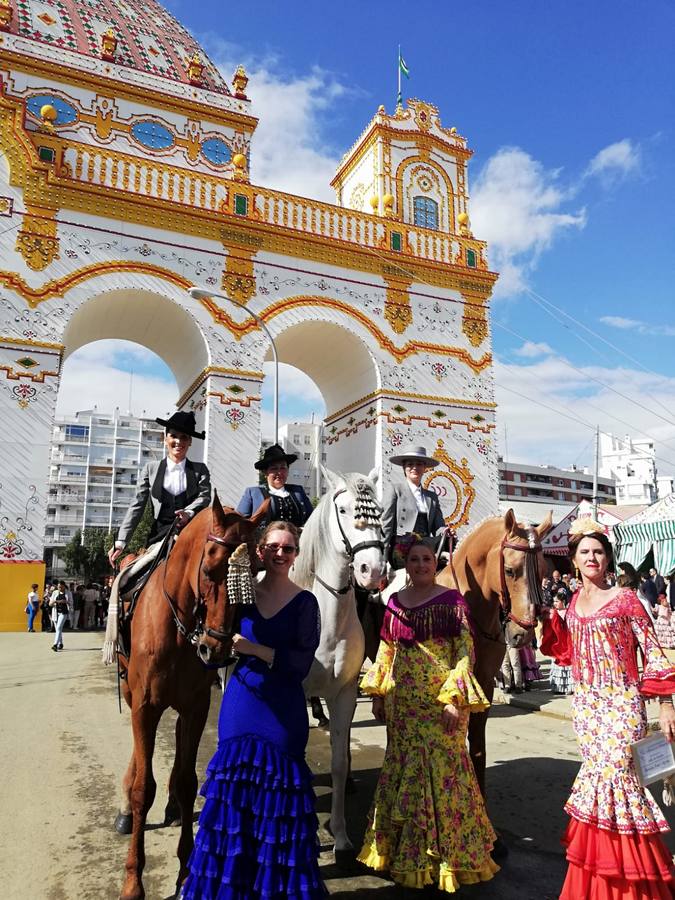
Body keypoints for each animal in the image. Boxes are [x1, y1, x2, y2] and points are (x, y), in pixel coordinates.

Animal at [115, 492, 268, 900]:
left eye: (252, 574)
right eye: (211, 568)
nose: (215, 650)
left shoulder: (197, 707)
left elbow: (187, 783)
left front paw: (185, 873)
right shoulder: (145, 706)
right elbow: (143, 788)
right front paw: (133, 881)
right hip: (131, 692)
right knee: (138, 755)